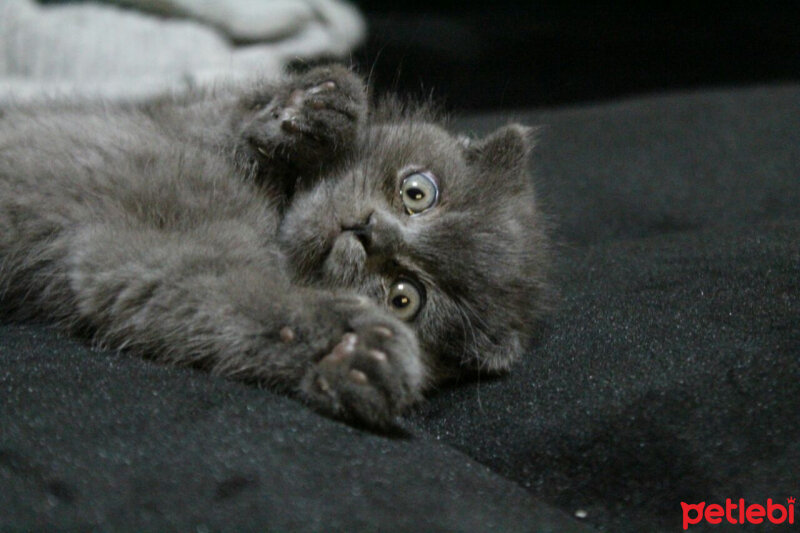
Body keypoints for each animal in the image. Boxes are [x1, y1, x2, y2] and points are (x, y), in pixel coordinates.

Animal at [0, 64, 552, 426]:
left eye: (404, 297)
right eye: (418, 193)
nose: (368, 232)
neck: (273, 214)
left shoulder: (139, 267)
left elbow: (229, 299)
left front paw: (351, 349)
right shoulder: (174, 119)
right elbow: (220, 116)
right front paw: (315, 106)